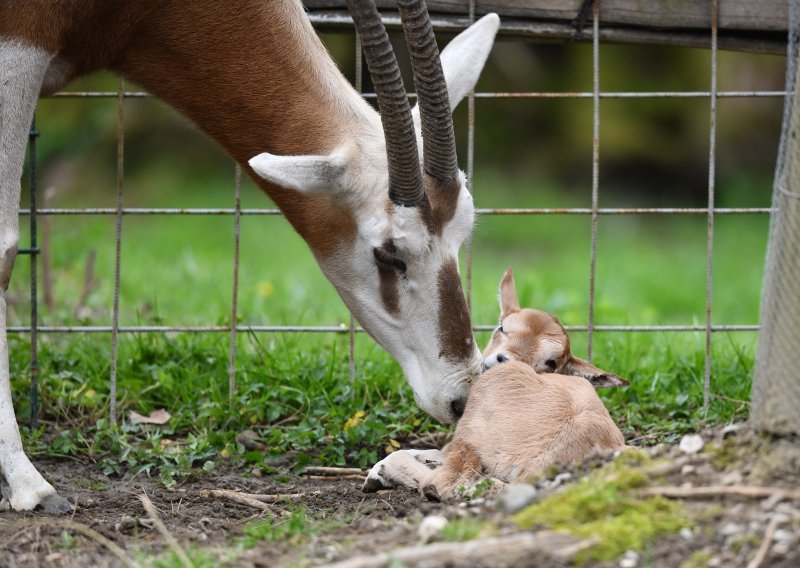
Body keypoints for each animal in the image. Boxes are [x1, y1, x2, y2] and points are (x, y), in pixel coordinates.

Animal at [1, 0, 500, 512]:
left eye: (463, 234)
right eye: (388, 255)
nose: (462, 397)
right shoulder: (19, 45)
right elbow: (4, 248)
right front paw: (29, 485)